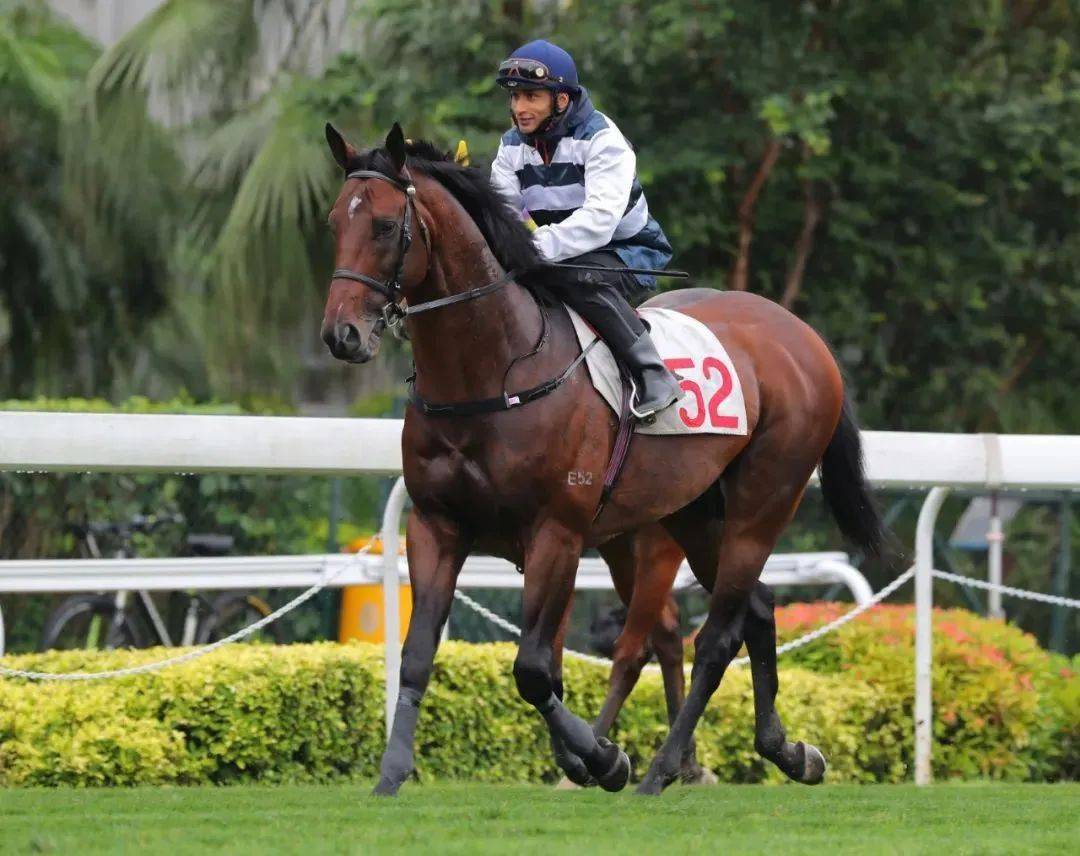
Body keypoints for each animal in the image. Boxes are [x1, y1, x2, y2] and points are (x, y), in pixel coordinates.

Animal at [319, 121, 885, 794]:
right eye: (334, 221)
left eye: (384, 226)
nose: (342, 335)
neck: (493, 372)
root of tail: (806, 339)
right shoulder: (436, 525)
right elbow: (419, 654)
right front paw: (392, 774)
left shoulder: (556, 531)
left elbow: (534, 668)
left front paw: (605, 757)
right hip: (693, 513)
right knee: (758, 610)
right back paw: (786, 750)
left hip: (763, 502)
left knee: (716, 636)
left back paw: (663, 768)